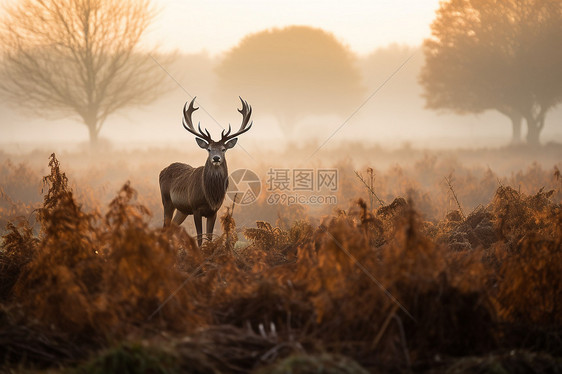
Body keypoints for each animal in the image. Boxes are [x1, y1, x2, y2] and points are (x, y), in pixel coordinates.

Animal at [159, 98, 253, 247]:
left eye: (223, 149)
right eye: (209, 149)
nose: (216, 158)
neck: (209, 195)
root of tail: (162, 171)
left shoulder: (213, 211)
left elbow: (209, 237)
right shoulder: (195, 208)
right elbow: (199, 237)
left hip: (182, 209)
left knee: (172, 226)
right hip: (166, 200)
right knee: (165, 226)